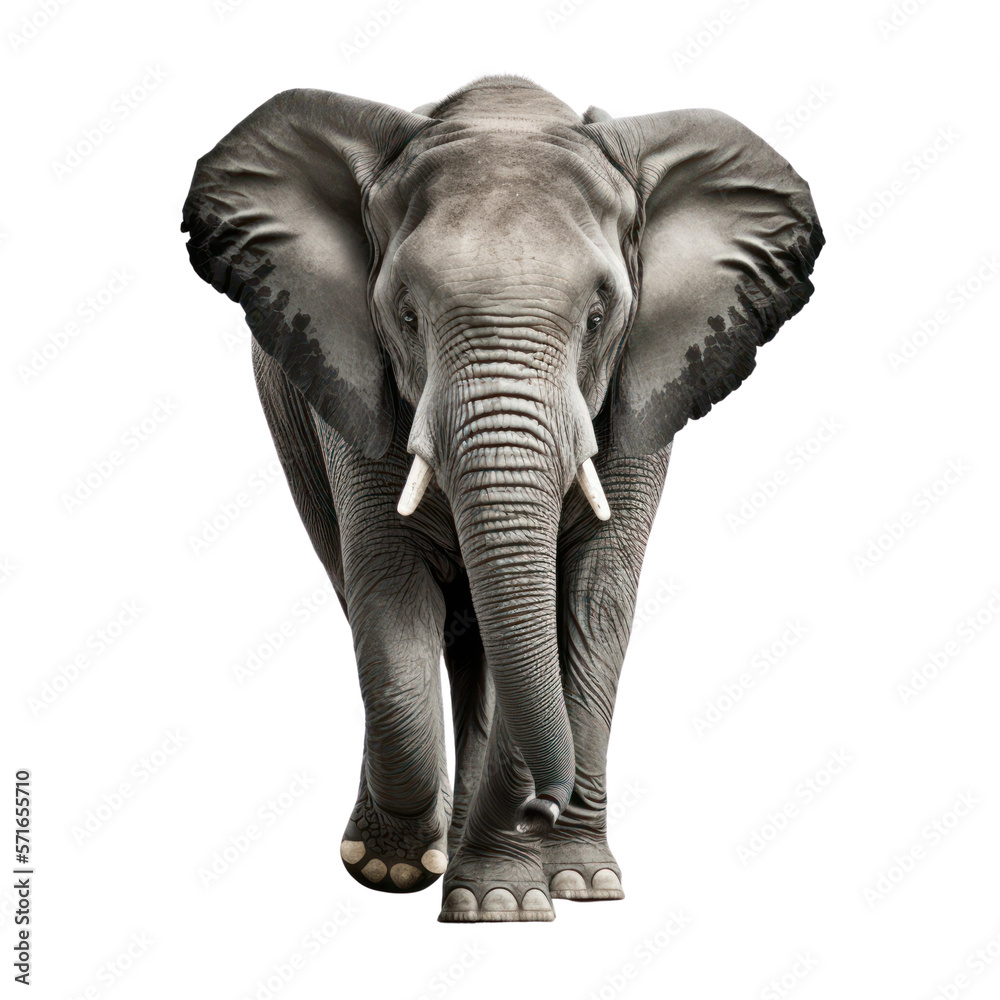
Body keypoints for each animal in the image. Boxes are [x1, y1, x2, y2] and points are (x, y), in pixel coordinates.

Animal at [180, 75, 823, 923]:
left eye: (599, 317)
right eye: (406, 314)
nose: (543, 805)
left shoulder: (640, 391)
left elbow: (586, 600)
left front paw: (531, 895)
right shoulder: (356, 387)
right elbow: (390, 591)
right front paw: (405, 870)